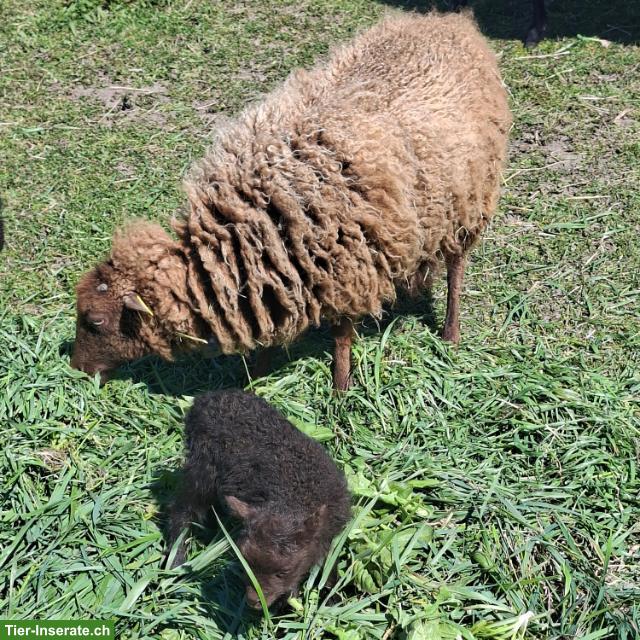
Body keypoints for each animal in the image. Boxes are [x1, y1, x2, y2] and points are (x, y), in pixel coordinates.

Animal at [71, 11, 511, 389]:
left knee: (456, 266)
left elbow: (341, 337)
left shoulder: (347, 269)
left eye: (95, 321)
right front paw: (256, 377)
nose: (76, 369)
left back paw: (451, 333)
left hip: (470, 199)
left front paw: (341, 390)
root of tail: (451, 22)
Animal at [165, 389, 351, 610]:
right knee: (184, 507)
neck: (291, 498)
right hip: (203, 464)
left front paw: (333, 599)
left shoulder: (329, 530)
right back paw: (176, 559)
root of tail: (206, 397)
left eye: (283, 572)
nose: (255, 602)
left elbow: (328, 561)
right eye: (245, 564)